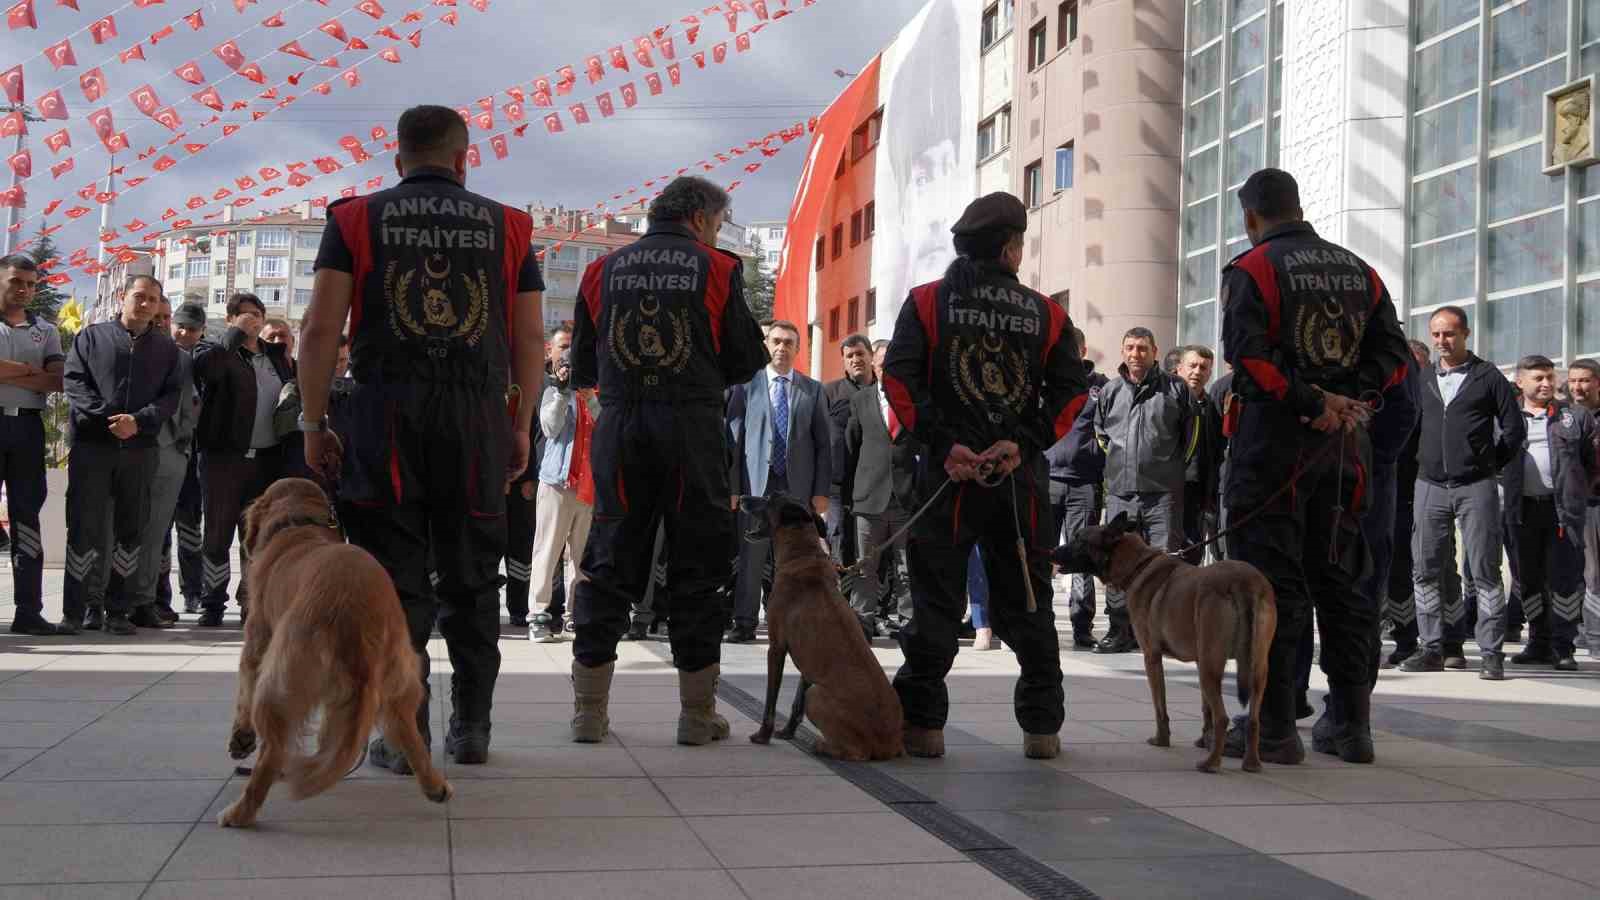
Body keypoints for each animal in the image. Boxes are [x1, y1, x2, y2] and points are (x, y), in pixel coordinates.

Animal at [212, 477, 451, 826]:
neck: (298, 524)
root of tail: (357, 619)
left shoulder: (257, 638)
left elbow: (245, 685)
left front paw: (241, 738)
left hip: (282, 676)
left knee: (274, 750)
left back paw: (239, 812)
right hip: (401, 677)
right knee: (409, 733)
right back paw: (434, 786)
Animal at [736, 490, 902, 755]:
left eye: (770, 497)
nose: (742, 497)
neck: (803, 554)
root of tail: (890, 744)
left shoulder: (776, 647)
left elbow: (771, 701)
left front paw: (763, 735)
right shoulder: (808, 664)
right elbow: (796, 704)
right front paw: (787, 732)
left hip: (817, 694)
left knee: (854, 752)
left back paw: (820, 745)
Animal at [1049, 512, 1273, 771]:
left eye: (1079, 539)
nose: (1051, 552)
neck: (1138, 565)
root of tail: (1243, 581)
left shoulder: (1152, 657)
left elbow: (1160, 707)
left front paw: (1161, 739)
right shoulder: (1199, 660)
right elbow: (1204, 707)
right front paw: (1203, 740)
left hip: (1210, 667)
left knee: (1222, 717)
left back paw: (1211, 763)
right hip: (1254, 670)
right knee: (1253, 720)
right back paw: (1251, 762)